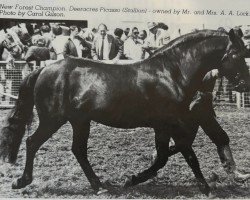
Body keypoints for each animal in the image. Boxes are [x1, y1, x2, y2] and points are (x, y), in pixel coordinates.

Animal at [0, 28, 250, 196]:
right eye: (238, 54)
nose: (245, 84)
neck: (172, 73)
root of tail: (43, 69)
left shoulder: (163, 126)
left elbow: (163, 157)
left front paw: (133, 179)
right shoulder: (172, 123)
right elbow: (189, 155)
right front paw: (206, 188)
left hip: (79, 121)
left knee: (78, 150)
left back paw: (99, 186)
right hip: (53, 119)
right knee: (32, 142)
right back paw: (22, 181)